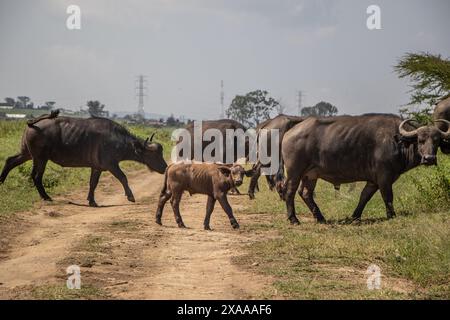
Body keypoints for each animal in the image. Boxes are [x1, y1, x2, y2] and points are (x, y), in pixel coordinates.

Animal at [0, 112, 168, 208]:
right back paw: (46, 197)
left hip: (27, 153)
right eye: (155, 154)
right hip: (40, 158)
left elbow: (93, 183)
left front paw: (91, 201)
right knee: (36, 176)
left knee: (10, 161)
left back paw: (1, 182)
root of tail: (33, 123)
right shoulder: (111, 165)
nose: (165, 168)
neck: (118, 140)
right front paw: (130, 196)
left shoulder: (97, 167)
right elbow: (123, 177)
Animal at [280, 114, 448, 224]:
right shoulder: (384, 178)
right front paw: (391, 215)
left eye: (437, 141)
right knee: (290, 191)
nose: (429, 158)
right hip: (295, 172)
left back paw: (320, 218)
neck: (397, 142)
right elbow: (388, 197)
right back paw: (293, 219)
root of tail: (290, 131)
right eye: (420, 140)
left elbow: (364, 197)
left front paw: (355, 216)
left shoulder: (373, 181)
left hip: (311, 175)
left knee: (305, 193)